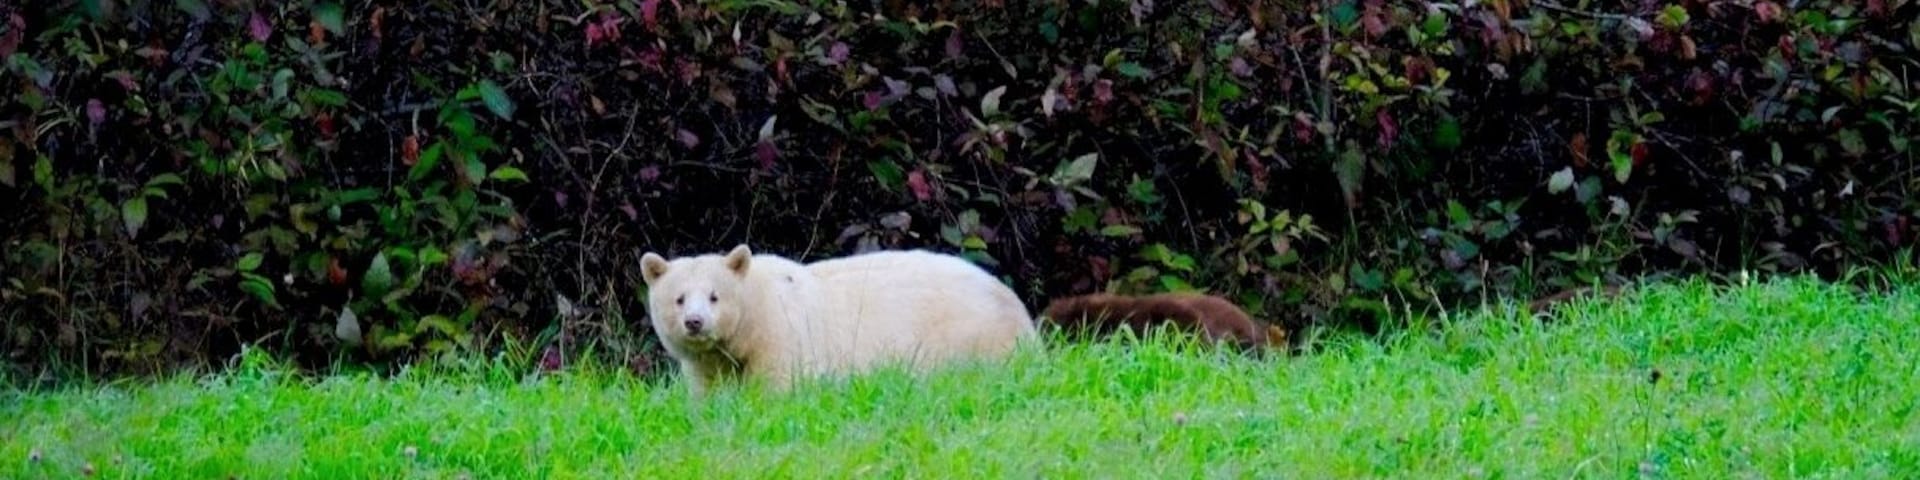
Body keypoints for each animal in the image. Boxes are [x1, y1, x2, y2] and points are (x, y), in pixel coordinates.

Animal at [639, 245, 1037, 396]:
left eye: (714, 296)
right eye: (678, 298)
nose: (695, 322)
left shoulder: (783, 334)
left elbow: (777, 385)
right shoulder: (709, 361)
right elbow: (710, 390)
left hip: (971, 335)